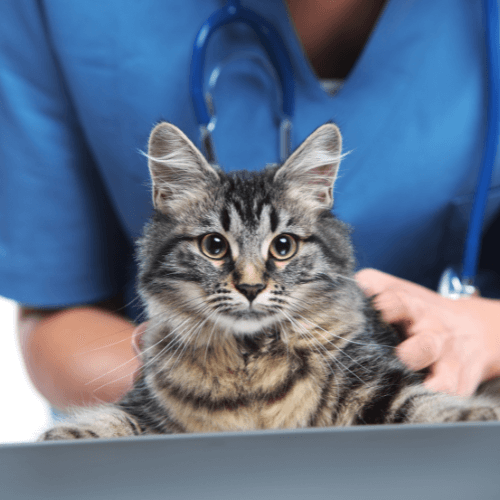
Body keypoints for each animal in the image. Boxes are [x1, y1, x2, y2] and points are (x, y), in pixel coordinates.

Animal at [40, 122, 500, 442]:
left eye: (283, 246)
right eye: (214, 246)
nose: (249, 287)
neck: (251, 364)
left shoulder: (379, 382)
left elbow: (427, 406)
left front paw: (477, 417)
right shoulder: (144, 406)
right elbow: (107, 420)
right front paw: (62, 437)